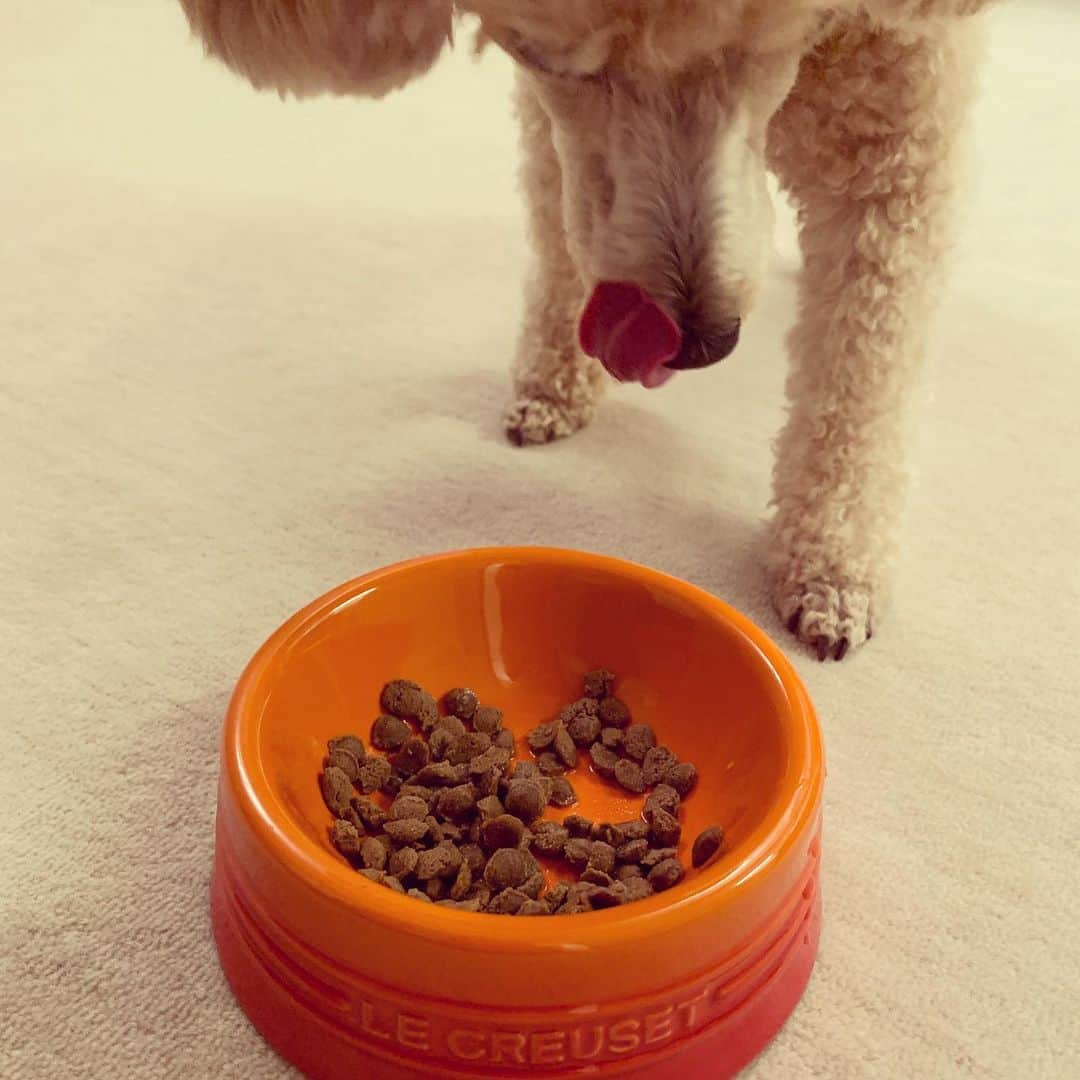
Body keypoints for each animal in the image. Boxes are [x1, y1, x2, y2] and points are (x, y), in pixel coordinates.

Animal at [179, 0, 993, 656]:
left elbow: (861, 378)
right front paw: (554, 382)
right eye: (538, 54)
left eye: (781, 40)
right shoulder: (554, 123)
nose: (701, 341)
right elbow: (561, 224)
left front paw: (834, 570)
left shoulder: (901, 153)